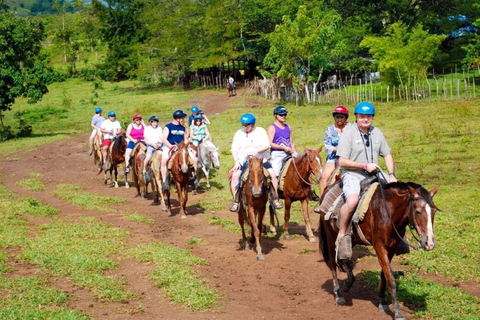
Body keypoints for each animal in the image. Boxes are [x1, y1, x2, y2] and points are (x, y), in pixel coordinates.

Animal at [318, 181, 438, 318]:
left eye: (434, 211)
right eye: (417, 211)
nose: (429, 243)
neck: (388, 212)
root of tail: (327, 190)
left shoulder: (391, 248)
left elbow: (384, 275)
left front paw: (383, 301)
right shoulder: (379, 246)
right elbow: (391, 279)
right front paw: (398, 313)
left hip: (352, 239)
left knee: (344, 257)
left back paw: (349, 281)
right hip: (331, 238)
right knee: (333, 264)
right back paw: (338, 295)